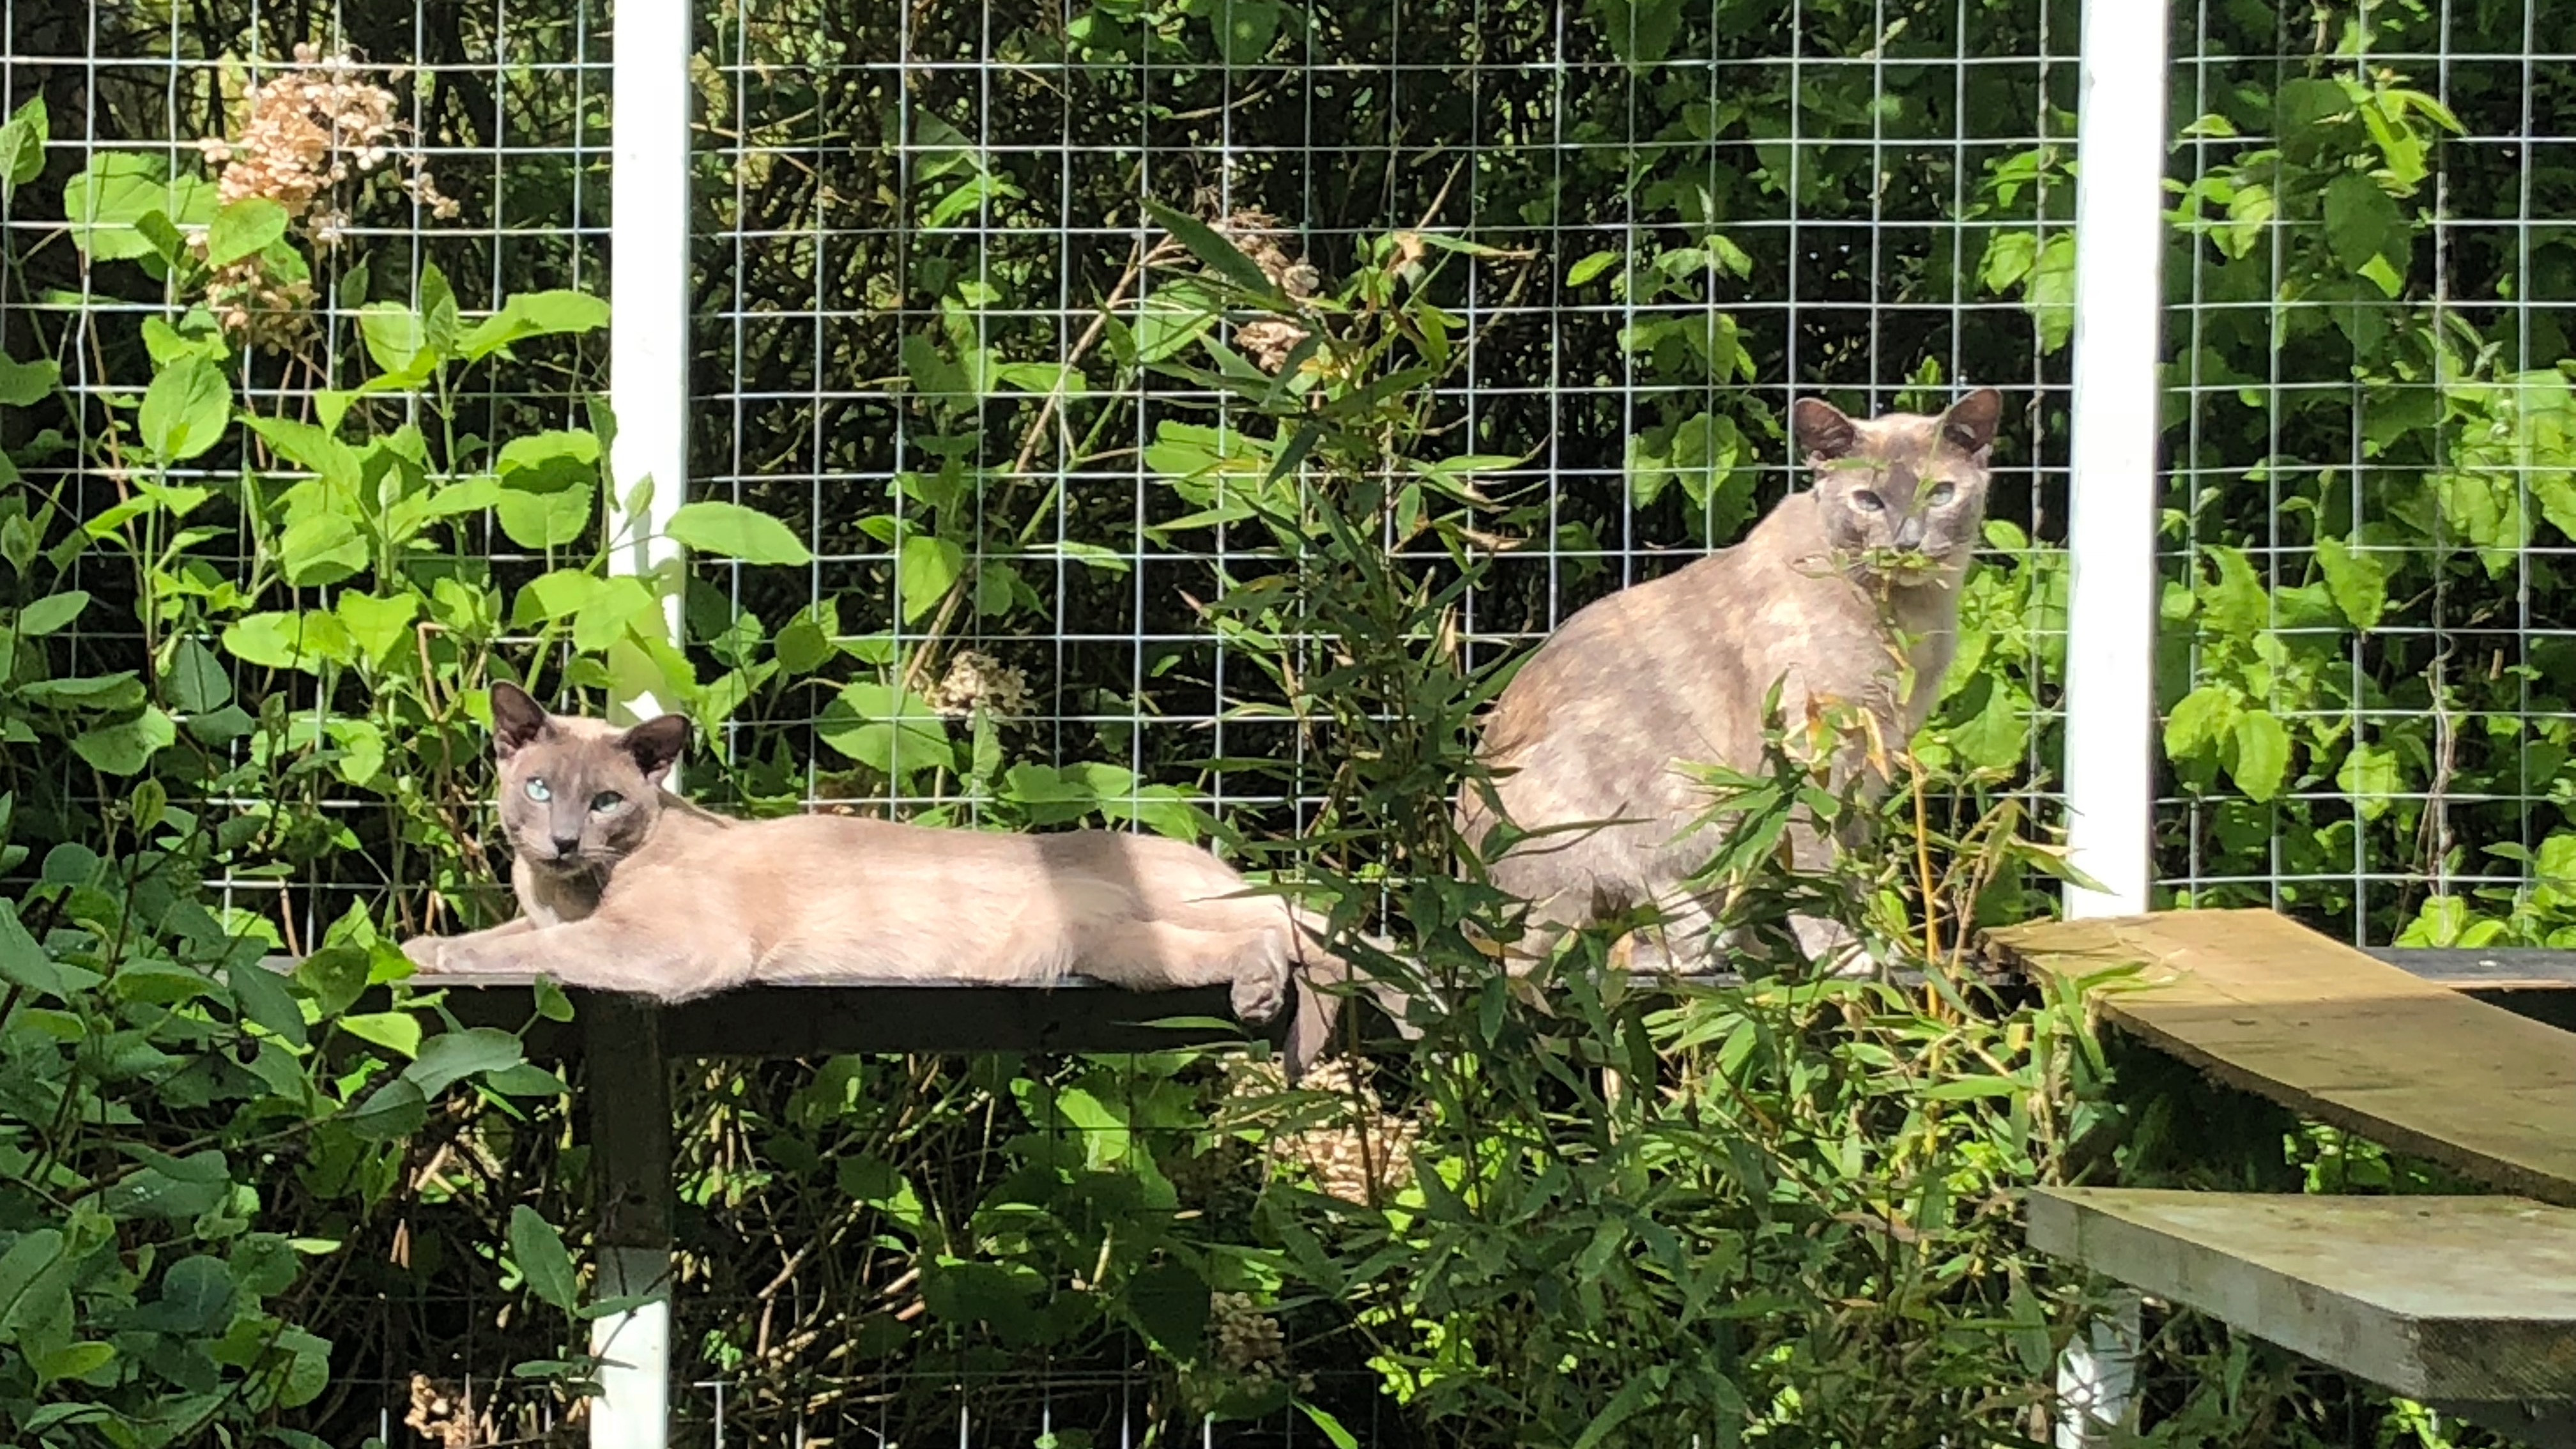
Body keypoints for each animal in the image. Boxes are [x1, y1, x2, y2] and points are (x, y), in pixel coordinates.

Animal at [396, 680, 1349, 1036]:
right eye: (540, 789)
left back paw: (1269, 990)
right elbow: (507, 934)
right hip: (1118, 949)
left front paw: (433, 954)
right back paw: (1261, 991)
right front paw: (421, 947)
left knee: (1294, 927)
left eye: (604, 803)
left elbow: (543, 948)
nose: (561, 841)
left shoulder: (666, 948)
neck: (566, 888)